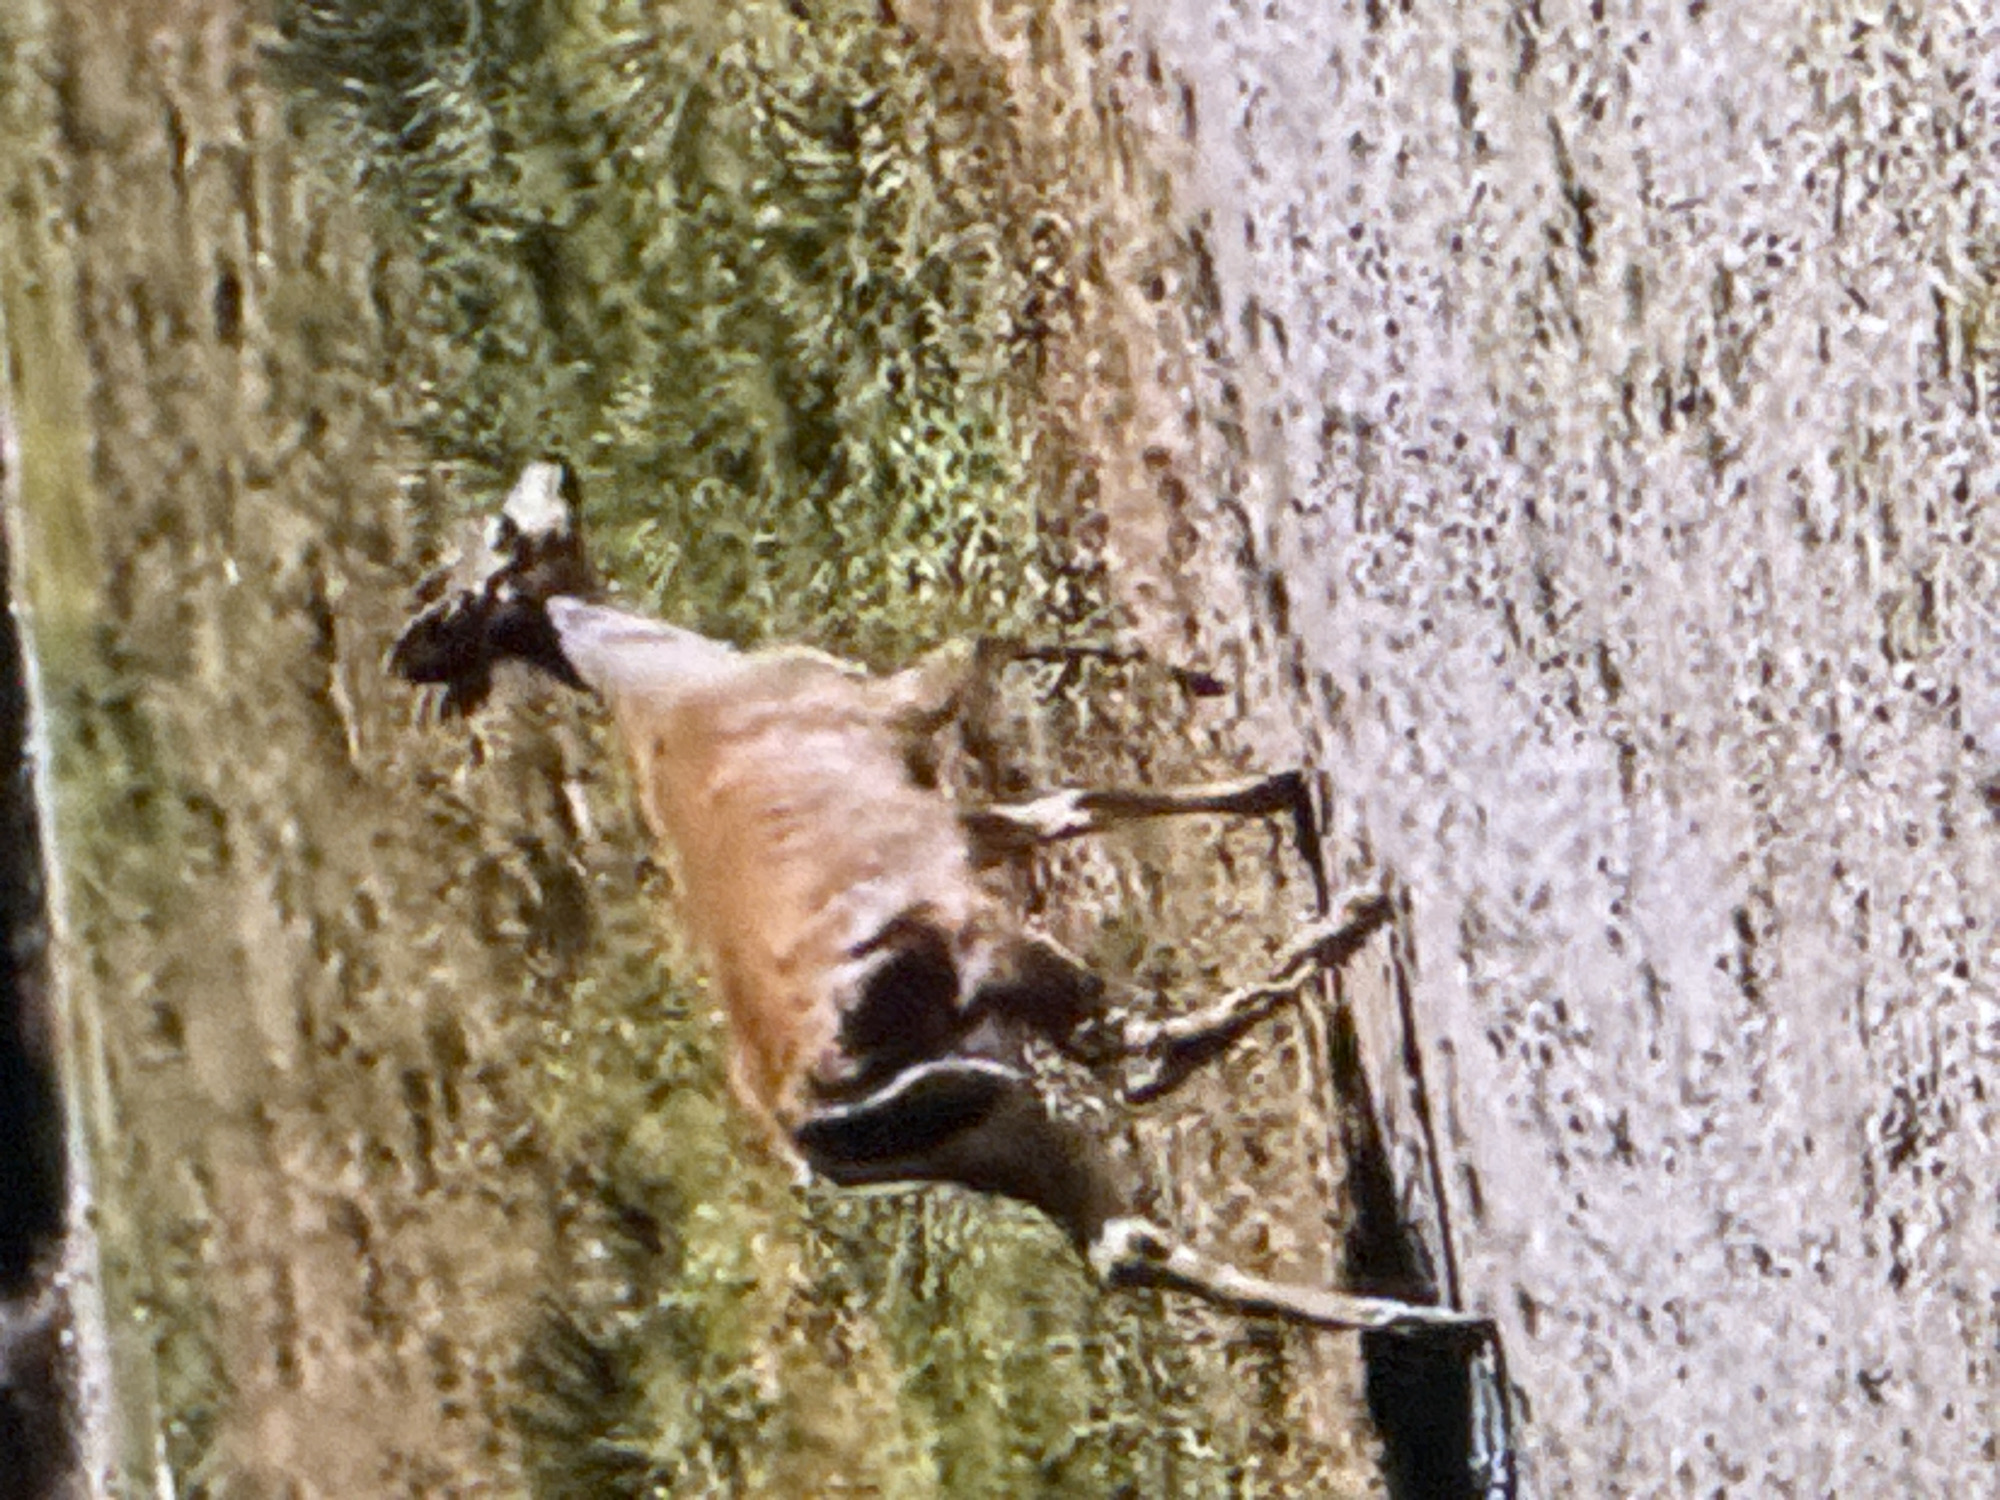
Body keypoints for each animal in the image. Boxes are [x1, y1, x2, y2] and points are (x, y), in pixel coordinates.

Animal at [390, 460, 1487, 1342]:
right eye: (506, 530)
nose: (551, 469)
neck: (682, 686)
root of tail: (814, 1127)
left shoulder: (940, 806)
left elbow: (1060, 791)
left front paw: (1255, 767)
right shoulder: (900, 719)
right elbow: (995, 650)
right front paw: (1213, 696)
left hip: (974, 1116)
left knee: (1117, 1238)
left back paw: (1428, 1321)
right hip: (978, 982)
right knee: (1126, 1054)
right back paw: (1346, 928)